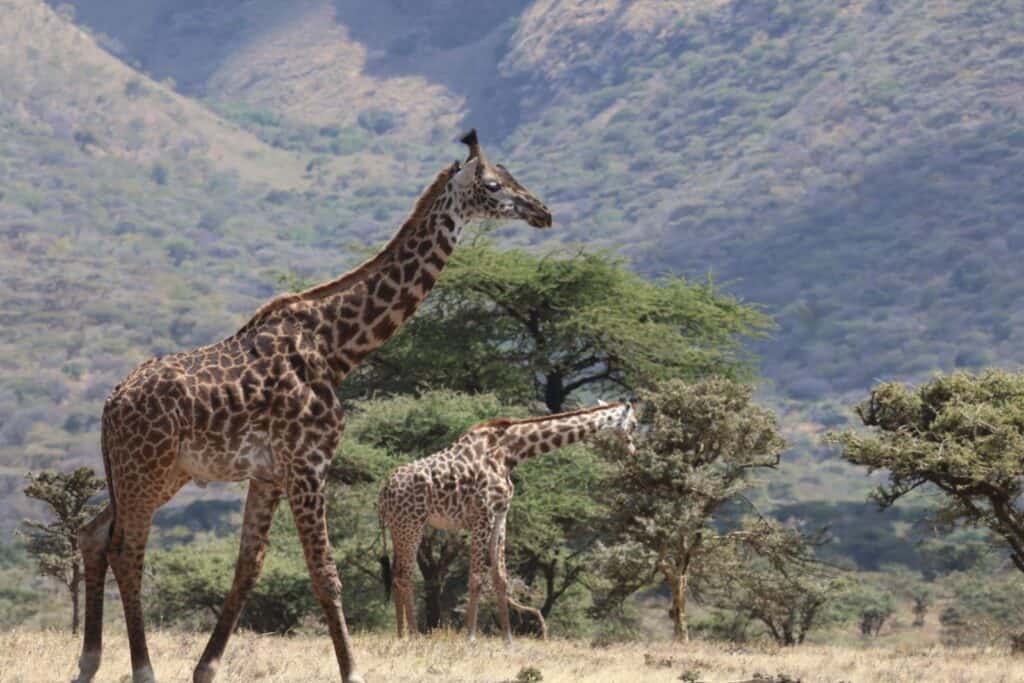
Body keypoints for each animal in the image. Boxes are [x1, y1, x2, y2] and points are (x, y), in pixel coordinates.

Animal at [73, 130, 551, 683]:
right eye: (493, 184)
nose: (542, 211)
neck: (338, 346)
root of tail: (112, 401)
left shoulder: (268, 473)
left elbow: (249, 566)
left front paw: (206, 668)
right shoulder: (308, 462)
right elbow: (324, 573)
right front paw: (353, 671)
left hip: (158, 472)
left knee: (93, 534)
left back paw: (88, 662)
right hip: (146, 469)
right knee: (126, 550)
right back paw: (142, 668)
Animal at [378, 402, 638, 644]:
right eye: (634, 425)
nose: (633, 451)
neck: (510, 452)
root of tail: (383, 491)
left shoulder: (501, 514)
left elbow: (500, 579)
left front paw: (508, 640)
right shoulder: (483, 514)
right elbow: (476, 578)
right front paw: (470, 638)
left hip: (399, 527)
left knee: (397, 574)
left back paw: (401, 635)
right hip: (411, 524)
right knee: (405, 576)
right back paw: (413, 635)